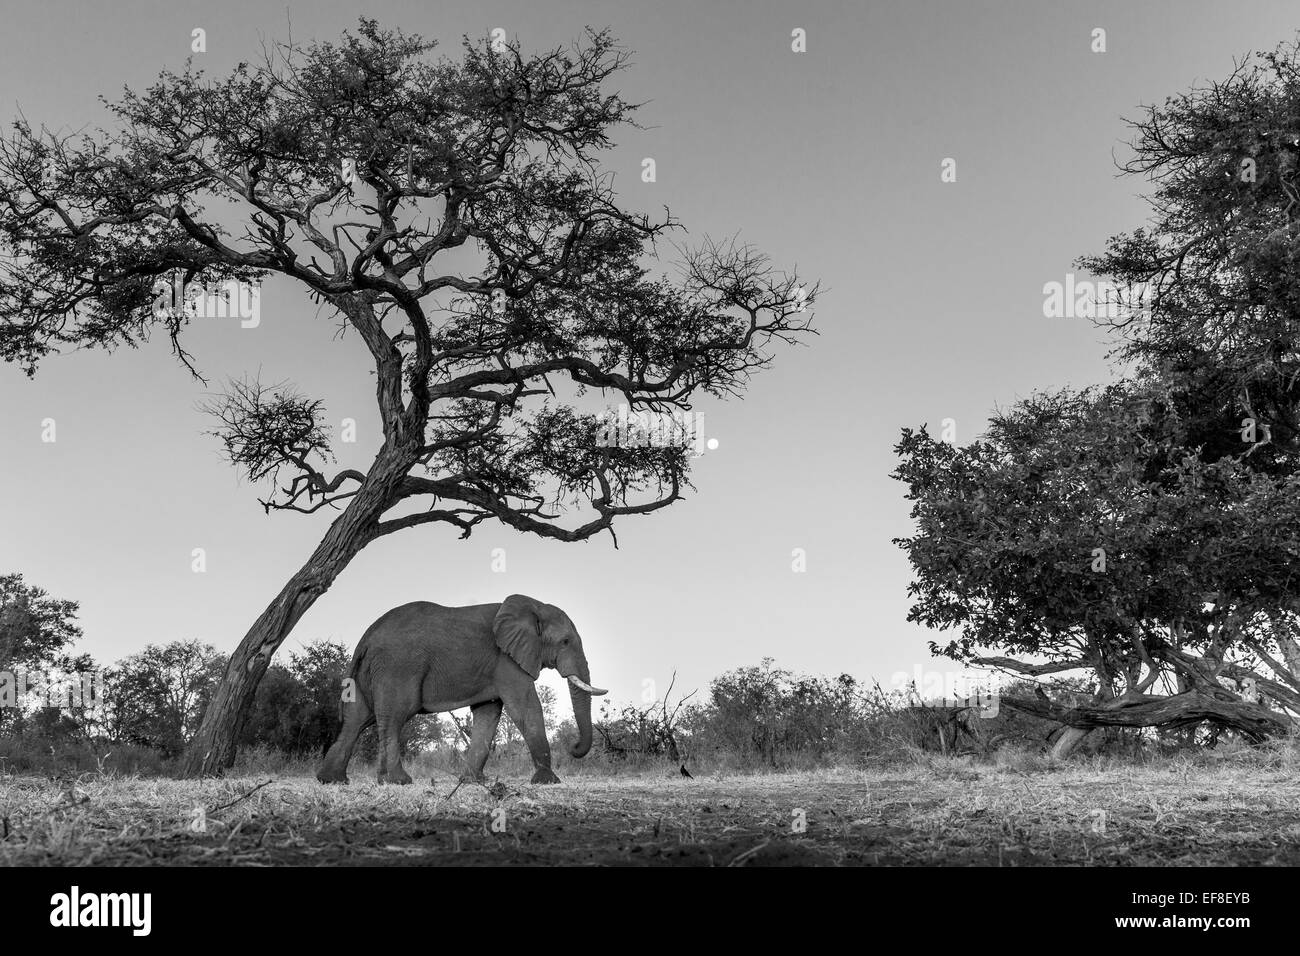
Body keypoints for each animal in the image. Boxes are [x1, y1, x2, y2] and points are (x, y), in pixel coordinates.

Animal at [317, 598, 605, 785]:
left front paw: (471, 781)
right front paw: (548, 781)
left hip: (367, 673)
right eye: (565, 641)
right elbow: (525, 707)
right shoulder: (506, 661)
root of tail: (366, 638)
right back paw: (398, 781)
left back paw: (332, 780)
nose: (573, 746)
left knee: (356, 720)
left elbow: (488, 713)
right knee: (393, 717)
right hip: (397, 667)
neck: (534, 607)